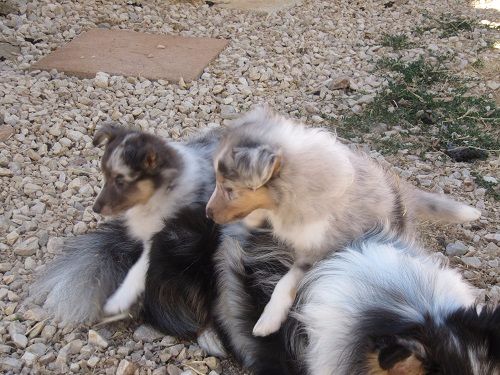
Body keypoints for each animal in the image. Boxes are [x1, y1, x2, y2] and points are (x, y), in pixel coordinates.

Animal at [206, 106, 480, 338]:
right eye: (218, 183)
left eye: (229, 190)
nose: (208, 214)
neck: (292, 188)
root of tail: (404, 195)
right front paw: (252, 219)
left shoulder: (320, 248)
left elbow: (287, 281)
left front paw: (268, 320)